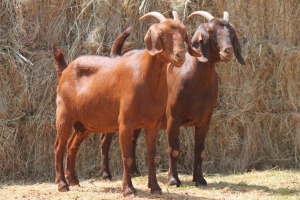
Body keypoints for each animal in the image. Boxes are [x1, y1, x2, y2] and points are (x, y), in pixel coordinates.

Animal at [52, 11, 200, 197]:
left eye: (184, 34)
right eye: (161, 34)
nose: (180, 56)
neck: (145, 78)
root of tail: (65, 70)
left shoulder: (153, 124)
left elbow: (151, 155)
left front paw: (155, 187)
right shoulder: (125, 123)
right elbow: (127, 157)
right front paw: (128, 189)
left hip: (85, 124)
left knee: (72, 146)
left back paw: (73, 180)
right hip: (64, 115)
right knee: (59, 147)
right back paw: (62, 184)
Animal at [95, 10, 245, 186]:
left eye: (232, 33)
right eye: (210, 31)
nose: (228, 51)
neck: (195, 80)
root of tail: (117, 57)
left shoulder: (205, 120)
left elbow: (200, 151)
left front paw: (200, 179)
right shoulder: (173, 118)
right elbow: (173, 150)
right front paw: (173, 180)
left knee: (132, 139)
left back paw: (135, 172)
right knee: (105, 140)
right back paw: (106, 174)